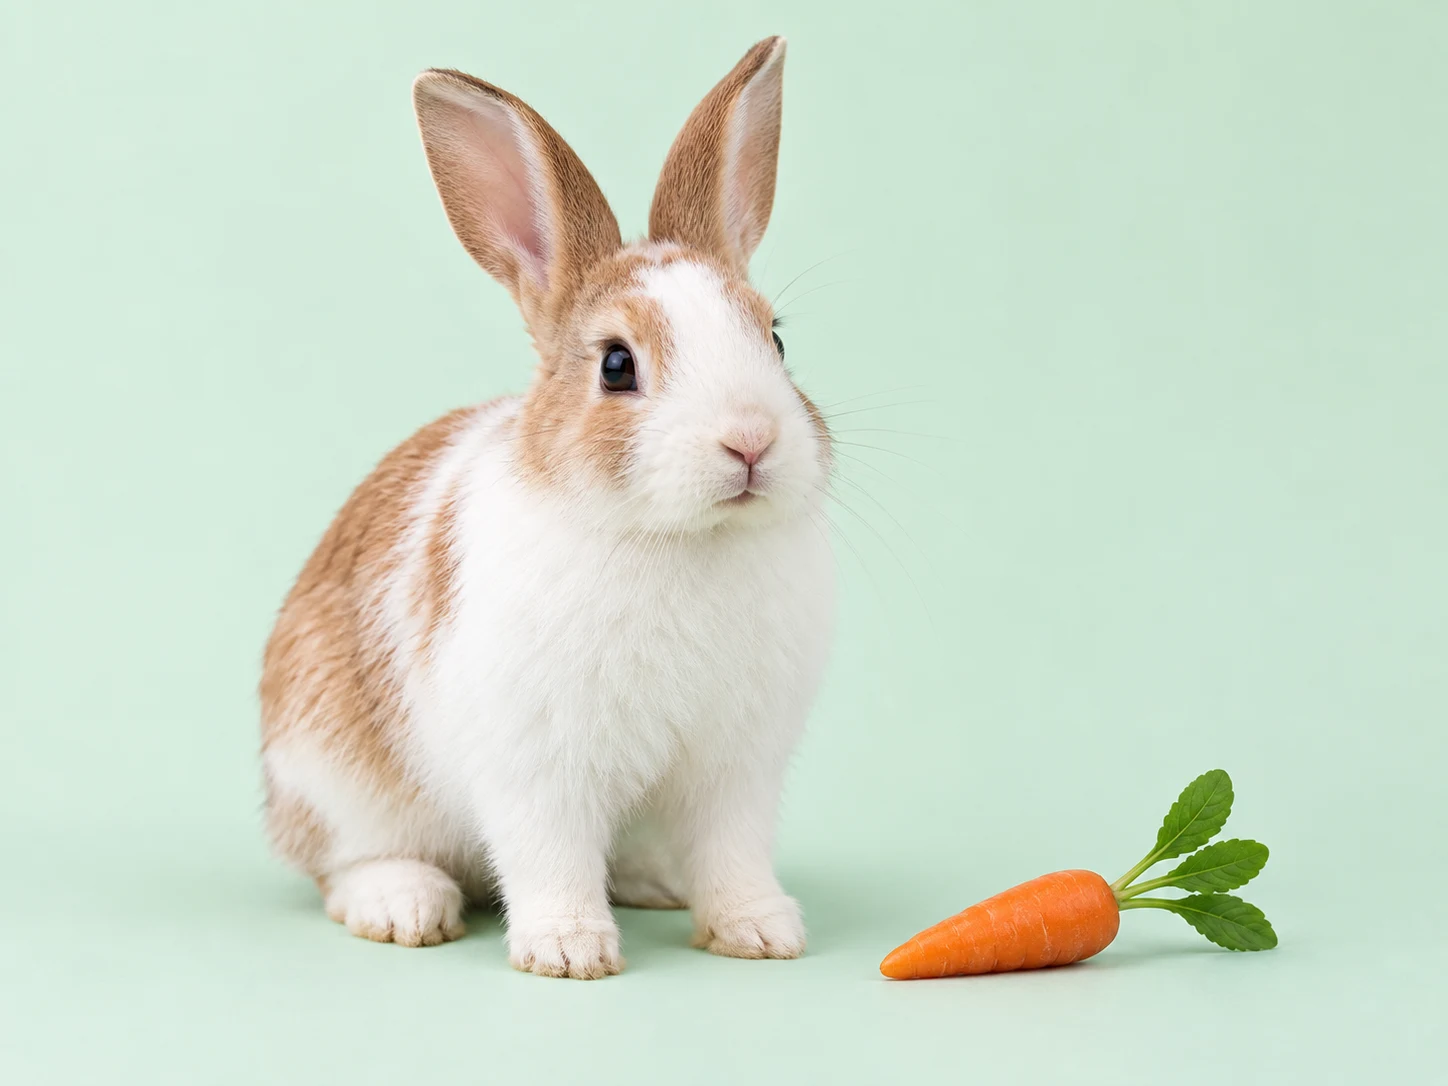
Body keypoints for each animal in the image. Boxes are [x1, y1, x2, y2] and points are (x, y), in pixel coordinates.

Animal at [259, 36, 834, 979]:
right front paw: (568, 952)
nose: (750, 442)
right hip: (333, 778)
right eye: (615, 365)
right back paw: (404, 904)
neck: (678, 538)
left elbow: (734, 853)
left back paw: (653, 883)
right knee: (340, 866)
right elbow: (549, 854)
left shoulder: (734, 768)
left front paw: (761, 933)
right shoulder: (537, 767)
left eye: (777, 339)